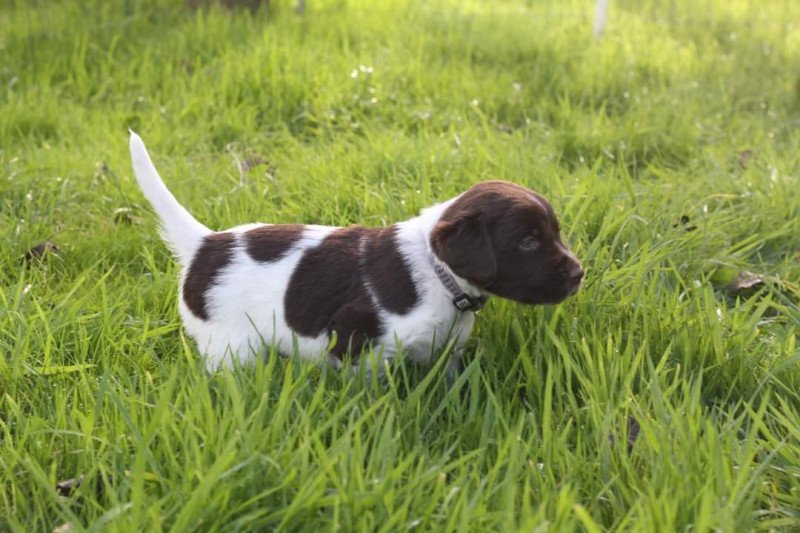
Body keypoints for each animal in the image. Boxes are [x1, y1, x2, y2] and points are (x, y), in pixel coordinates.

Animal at [130, 131, 580, 372]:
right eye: (528, 242)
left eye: (555, 233)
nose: (580, 274)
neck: (437, 273)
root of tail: (206, 244)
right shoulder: (355, 343)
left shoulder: (443, 350)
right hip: (230, 346)